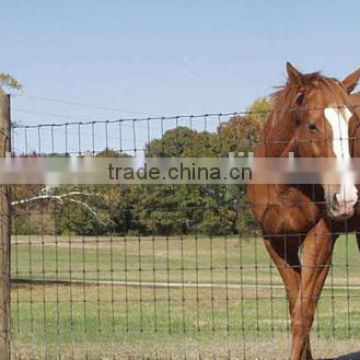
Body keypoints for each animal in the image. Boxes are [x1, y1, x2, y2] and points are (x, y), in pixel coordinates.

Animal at [248, 62, 360, 360]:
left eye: (354, 124)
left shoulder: (320, 240)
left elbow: (303, 314)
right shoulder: (278, 242)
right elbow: (294, 304)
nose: (346, 199)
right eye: (312, 126)